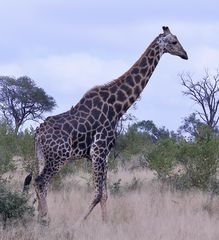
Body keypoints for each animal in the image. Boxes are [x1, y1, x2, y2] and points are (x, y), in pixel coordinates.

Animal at [28, 26, 187, 223]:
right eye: (174, 42)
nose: (185, 55)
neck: (117, 109)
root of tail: (38, 134)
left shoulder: (105, 154)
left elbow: (104, 195)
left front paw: (106, 223)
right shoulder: (98, 151)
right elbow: (97, 194)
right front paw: (79, 222)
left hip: (43, 156)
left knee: (40, 183)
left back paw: (40, 217)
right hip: (58, 157)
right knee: (41, 182)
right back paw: (46, 220)